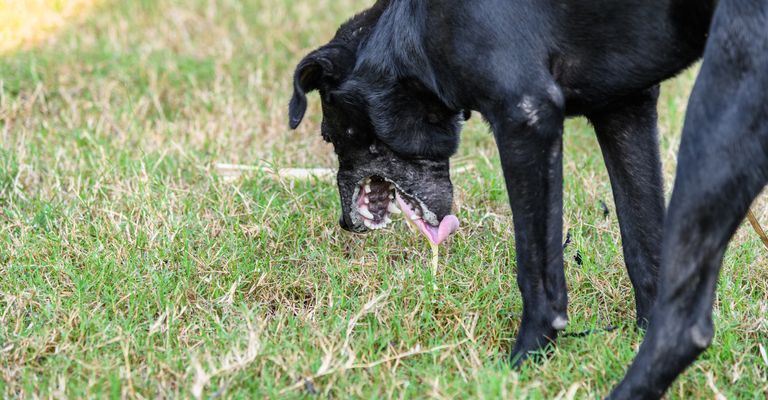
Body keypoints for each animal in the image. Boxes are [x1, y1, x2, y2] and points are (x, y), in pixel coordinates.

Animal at [290, 1, 768, 398]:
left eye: (330, 135)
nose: (345, 223)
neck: (413, 28)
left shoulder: (526, 118)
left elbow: (537, 273)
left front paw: (522, 363)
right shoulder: (625, 108)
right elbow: (644, 248)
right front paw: (636, 333)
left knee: (686, 326)